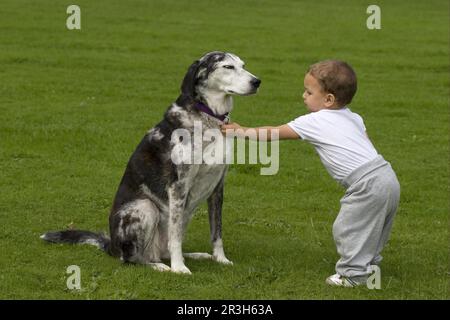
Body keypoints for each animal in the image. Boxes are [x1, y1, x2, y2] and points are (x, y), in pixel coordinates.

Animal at [41, 51, 262, 274]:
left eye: (243, 65)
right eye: (227, 67)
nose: (257, 82)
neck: (208, 119)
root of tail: (111, 245)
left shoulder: (217, 187)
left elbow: (216, 232)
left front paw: (220, 259)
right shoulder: (178, 186)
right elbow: (175, 237)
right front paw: (179, 268)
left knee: (163, 250)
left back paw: (194, 256)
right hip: (146, 207)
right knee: (132, 258)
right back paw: (160, 266)